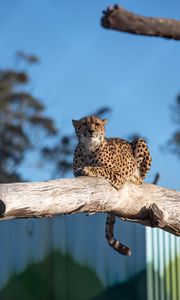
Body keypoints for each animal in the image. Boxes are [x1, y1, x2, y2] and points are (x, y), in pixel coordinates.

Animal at [72, 115, 151, 255]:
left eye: (97, 124)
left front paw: (87, 169)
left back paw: (134, 178)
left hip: (139, 140)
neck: (88, 148)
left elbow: (101, 169)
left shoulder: (118, 175)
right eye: (84, 124)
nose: (91, 131)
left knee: (141, 180)